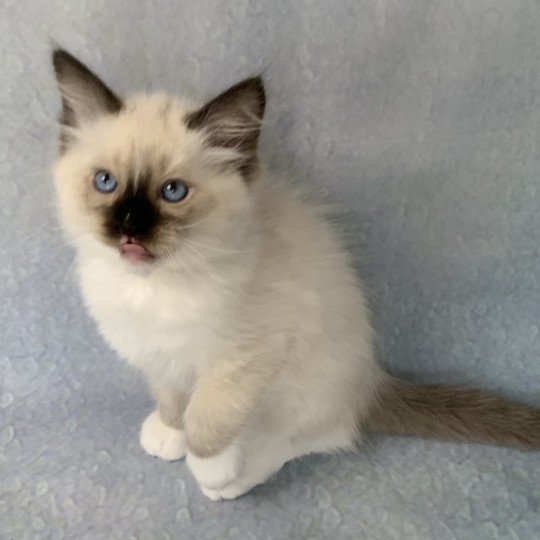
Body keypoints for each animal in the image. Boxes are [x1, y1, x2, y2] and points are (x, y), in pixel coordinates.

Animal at [51, 48, 540, 500]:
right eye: (106, 183)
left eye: (172, 192)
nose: (129, 226)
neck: (154, 286)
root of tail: (370, 382)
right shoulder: (159, 355)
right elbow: (172, 400)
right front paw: (169, 434)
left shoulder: (244, 357)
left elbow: (208, 418)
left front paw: (206, 465)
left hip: (295, 395)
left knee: (310, 439)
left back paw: (232, 480)